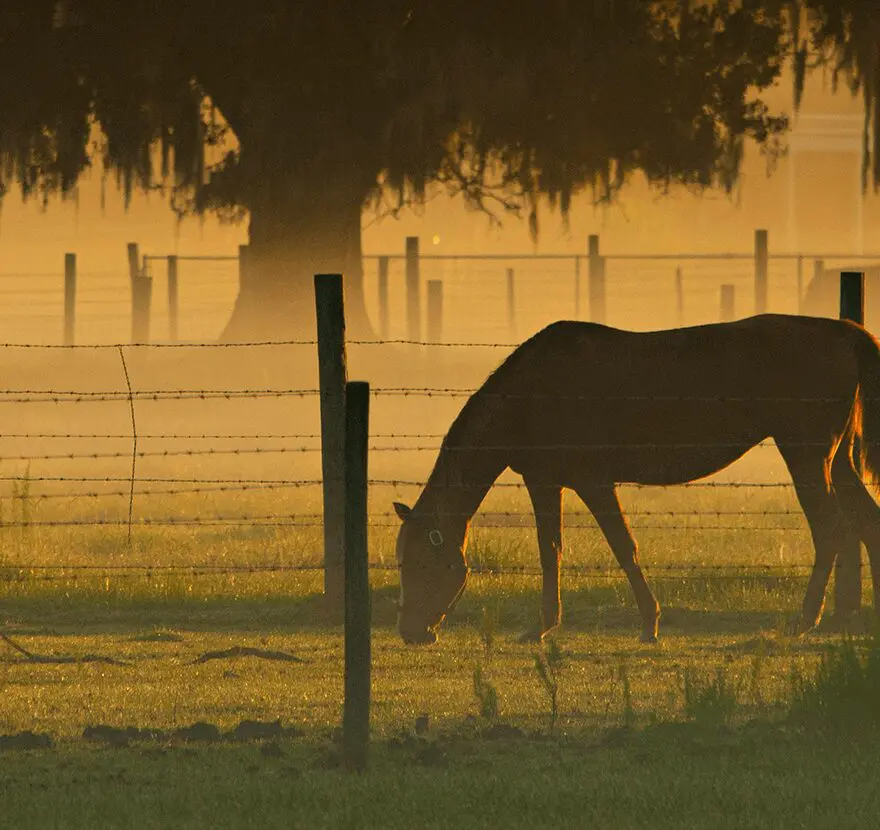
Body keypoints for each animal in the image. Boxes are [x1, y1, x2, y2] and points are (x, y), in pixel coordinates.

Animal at [396, 316, 880, 648]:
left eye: (419, 563)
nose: (411, 632)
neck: (531, 392)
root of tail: (845, 332)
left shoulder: (593, 480)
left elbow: (622, 547)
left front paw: (649, 623)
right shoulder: (545, 481)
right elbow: (550, 550)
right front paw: (545, 626)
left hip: (806, 455)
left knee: (832, 529)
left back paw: (804, 620)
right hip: (836, 461)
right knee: (867, 521)